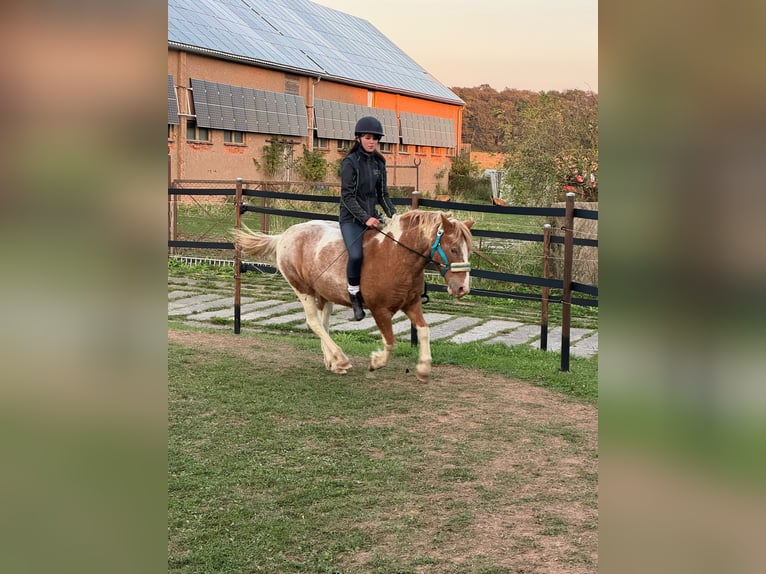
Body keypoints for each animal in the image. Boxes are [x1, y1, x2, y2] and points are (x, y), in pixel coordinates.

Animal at [232, 210, 474, 382]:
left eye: (467, 250)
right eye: (453, 249)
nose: (463, 288)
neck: (396, 257)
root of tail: (285, 235)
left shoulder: (412, 304)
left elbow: (424, 331)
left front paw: (423, 368)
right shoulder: (380, 310)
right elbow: (390, 343)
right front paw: (376, 362)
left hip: (324, 293)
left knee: (323, 323)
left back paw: (332, 361)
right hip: (302, 288)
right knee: (313, 322)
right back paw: (340, 359)